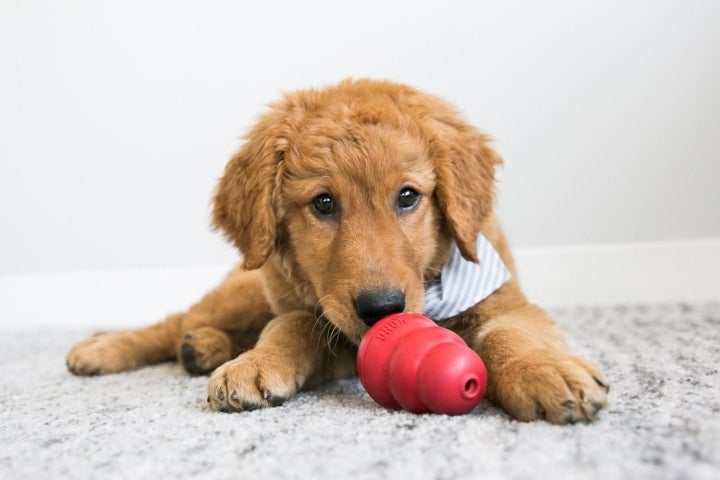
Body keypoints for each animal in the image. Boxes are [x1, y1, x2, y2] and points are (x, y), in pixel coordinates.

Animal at [66, 79, 608, 424]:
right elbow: (292, 325)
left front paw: (545, 371)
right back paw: (106, 348)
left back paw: (202, 348)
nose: (381, 309)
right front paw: (256, 364)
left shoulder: (506, 300)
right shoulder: (320, 320)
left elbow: (509, 335)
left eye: (407, 196)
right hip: (247, 288)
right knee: (175, 320)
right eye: (323, 203)